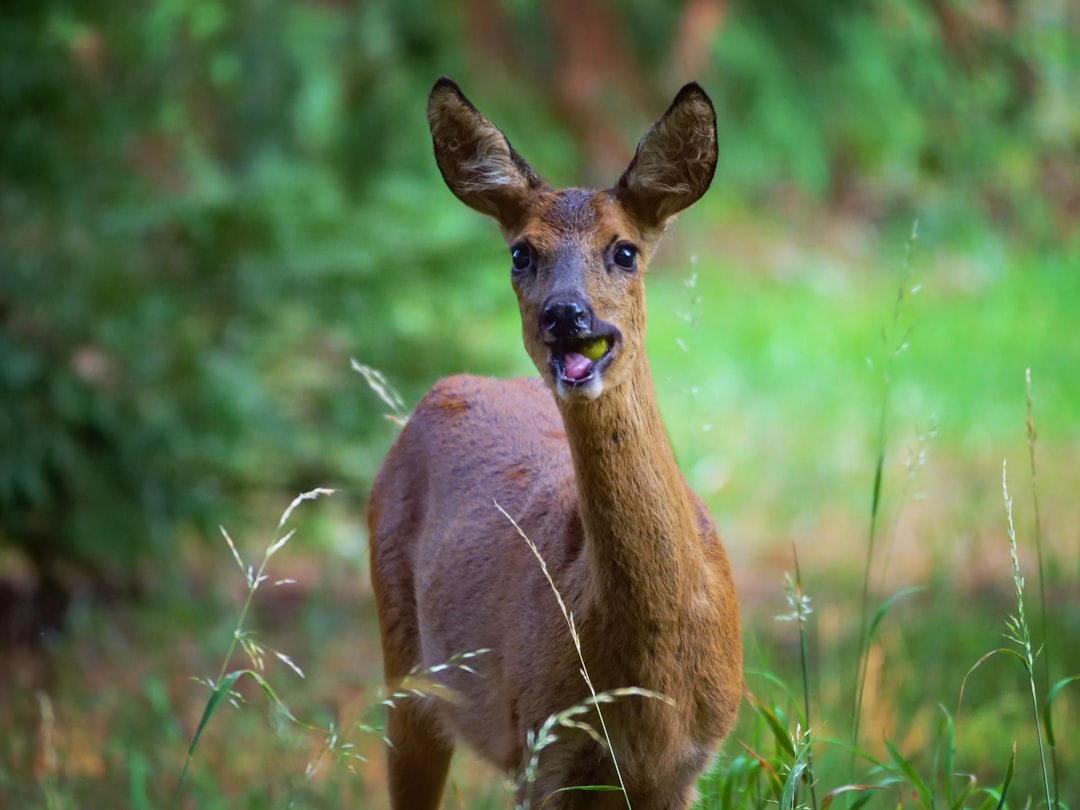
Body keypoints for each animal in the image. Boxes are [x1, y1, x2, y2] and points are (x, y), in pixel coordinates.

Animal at [365, 77, 743, 810]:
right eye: (521, 253)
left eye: (624, 250)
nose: (565, 314)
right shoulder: (542, 746)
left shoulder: (687, 766)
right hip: (407, 672)